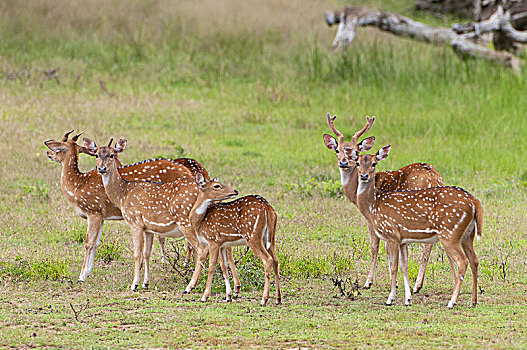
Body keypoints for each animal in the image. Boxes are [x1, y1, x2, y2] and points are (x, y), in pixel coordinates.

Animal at [42, 131, 221, 284]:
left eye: (59, 147)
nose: (48, 153)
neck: (77, 187)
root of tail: (189, 172)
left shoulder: (93, 211)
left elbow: (88, 243)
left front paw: (81, 276)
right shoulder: (101, 216)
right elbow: (96, 242)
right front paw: (87, 274)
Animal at [83, 137, 242, 292]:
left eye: (112, 155)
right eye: (96, 155)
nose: (101, 168)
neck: (122, 194)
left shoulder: (135, 222)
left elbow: (137, 254)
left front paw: (134, 284)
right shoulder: (147, 228)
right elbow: (146, 253)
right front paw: (145, 283)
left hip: (186, 221)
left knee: (202, 250)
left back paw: (190, 286)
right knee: (223, 248)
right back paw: (234, 286)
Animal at [189, 174, 282, 304]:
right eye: (217, 185)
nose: (235, 190)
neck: (200, 222)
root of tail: (268, 207)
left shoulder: (213, 240)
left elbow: (211, 266)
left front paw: (204, 296)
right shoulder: (222, 243)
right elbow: (223, 266)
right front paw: (229, 296)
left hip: (252, 236)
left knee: (267, 260)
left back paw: (264, 299)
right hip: (269, 239)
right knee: (276, 260)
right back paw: (278, 298)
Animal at [322, 113, 454, 292]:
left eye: (356, 151)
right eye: (337, 149)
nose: (343, 162)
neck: (356, 193)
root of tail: (434, 179)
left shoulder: (374, 218)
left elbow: (375, 247)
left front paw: (369, 282)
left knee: (426, 246)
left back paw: (417, 285)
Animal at [348, 144, 484, 306]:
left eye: (374, 163)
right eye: (357, 163)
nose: (364, 176)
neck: (373, 205)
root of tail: (474, 202)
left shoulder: (391, 234)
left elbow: (393, 266)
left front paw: (390, 298)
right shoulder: (402, 240)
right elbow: (403, 265)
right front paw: (407, 299)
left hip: (450, 233)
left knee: (462, 261)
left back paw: (452, 302)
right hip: (467, 235)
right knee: (474, 260)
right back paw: (473, 301)